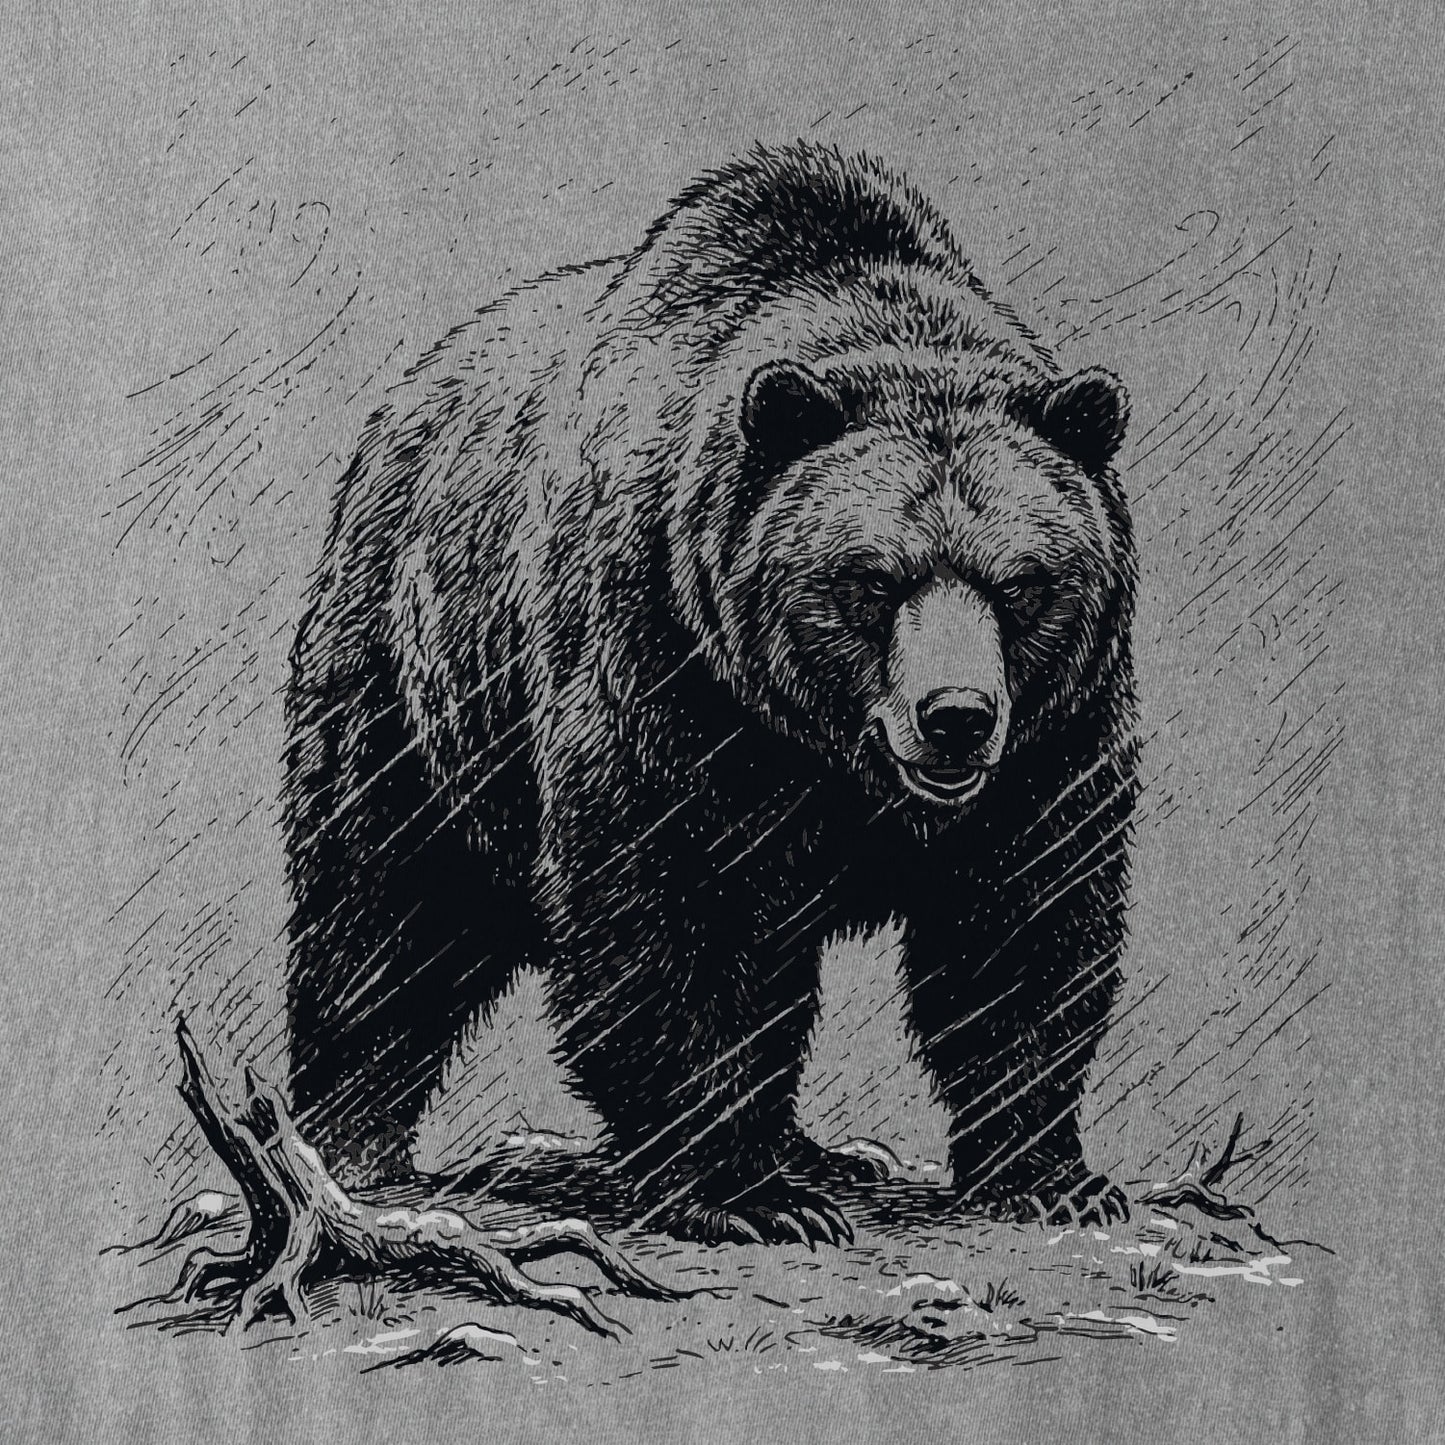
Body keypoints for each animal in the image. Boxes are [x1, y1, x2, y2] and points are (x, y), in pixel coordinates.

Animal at [281, 141, 1138, 1246]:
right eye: (872, 579)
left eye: (1020, 581)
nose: (953, 716)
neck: (830, 756)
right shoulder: (666, 672)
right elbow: (669, 918)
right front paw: (740, 1193)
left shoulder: (1052, 742)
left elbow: (1025, 924)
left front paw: (1046, 1173)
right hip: (416, 673)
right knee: (383, 910)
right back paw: (350, 1143)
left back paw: (809, 1147)